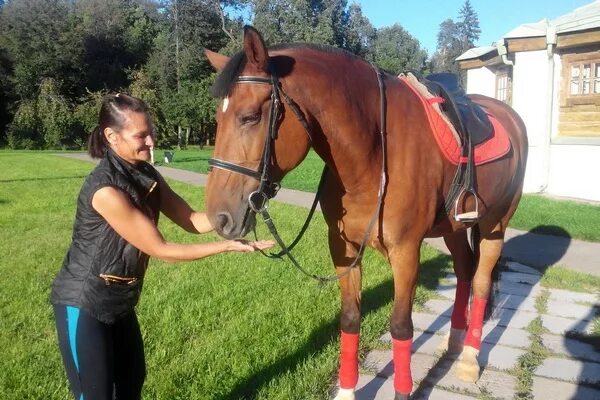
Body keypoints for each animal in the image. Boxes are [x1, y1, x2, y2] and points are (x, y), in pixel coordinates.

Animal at [204, 26, 528, 398]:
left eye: (250, 117)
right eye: (217, 119)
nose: (218, 217)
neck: (373, 153)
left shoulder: (405, 252)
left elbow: (401, 327)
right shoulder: (342, 248)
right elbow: (349, 318)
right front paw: (347, 390)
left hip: (494, 226)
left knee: (481, 281)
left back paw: (470, 358)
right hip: (455, 229)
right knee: (463, 272)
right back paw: (454, 339)